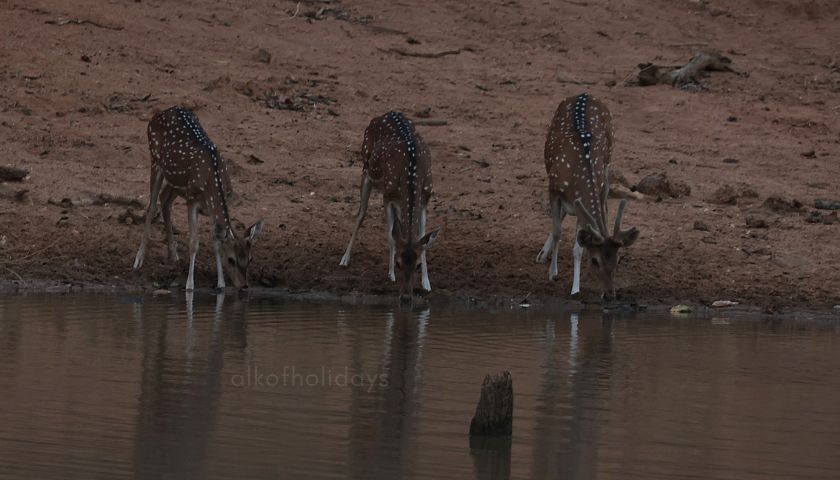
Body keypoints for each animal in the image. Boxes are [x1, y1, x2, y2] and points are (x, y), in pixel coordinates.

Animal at [132, 106, 264, 291]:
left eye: (250, 259)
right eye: (231, 260)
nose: (243, 285)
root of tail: (160, 113)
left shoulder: (209, 207)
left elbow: (216, 243)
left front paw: (221, 284)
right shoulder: (192, 200)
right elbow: (194, 243)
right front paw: (189, 285)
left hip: (176, 181)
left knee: (165, 199)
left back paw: (173, 255)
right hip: (155, 161)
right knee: (151, 206)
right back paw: (139, 259)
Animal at [339, 111, 440, 302]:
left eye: (417, 265)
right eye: (399, 264)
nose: (406, 297)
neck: (411, 173)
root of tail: (386, 114)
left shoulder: (425, 197)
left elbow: (421, 237)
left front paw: (426, 283)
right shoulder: (388, 194)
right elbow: (390, 234)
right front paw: (391, 274)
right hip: (366, 170)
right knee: (361, 214)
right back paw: (344, 259)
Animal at [536, 93, 639, 300]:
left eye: (618, 259)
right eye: (595, 261)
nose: (610, 295)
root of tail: (584, 93)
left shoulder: (583, 202)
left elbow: (577, 248)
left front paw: (575, 289)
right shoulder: (553, 189)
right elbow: (558, 231)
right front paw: (553, 274)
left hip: (607, 171)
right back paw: (542, 256)